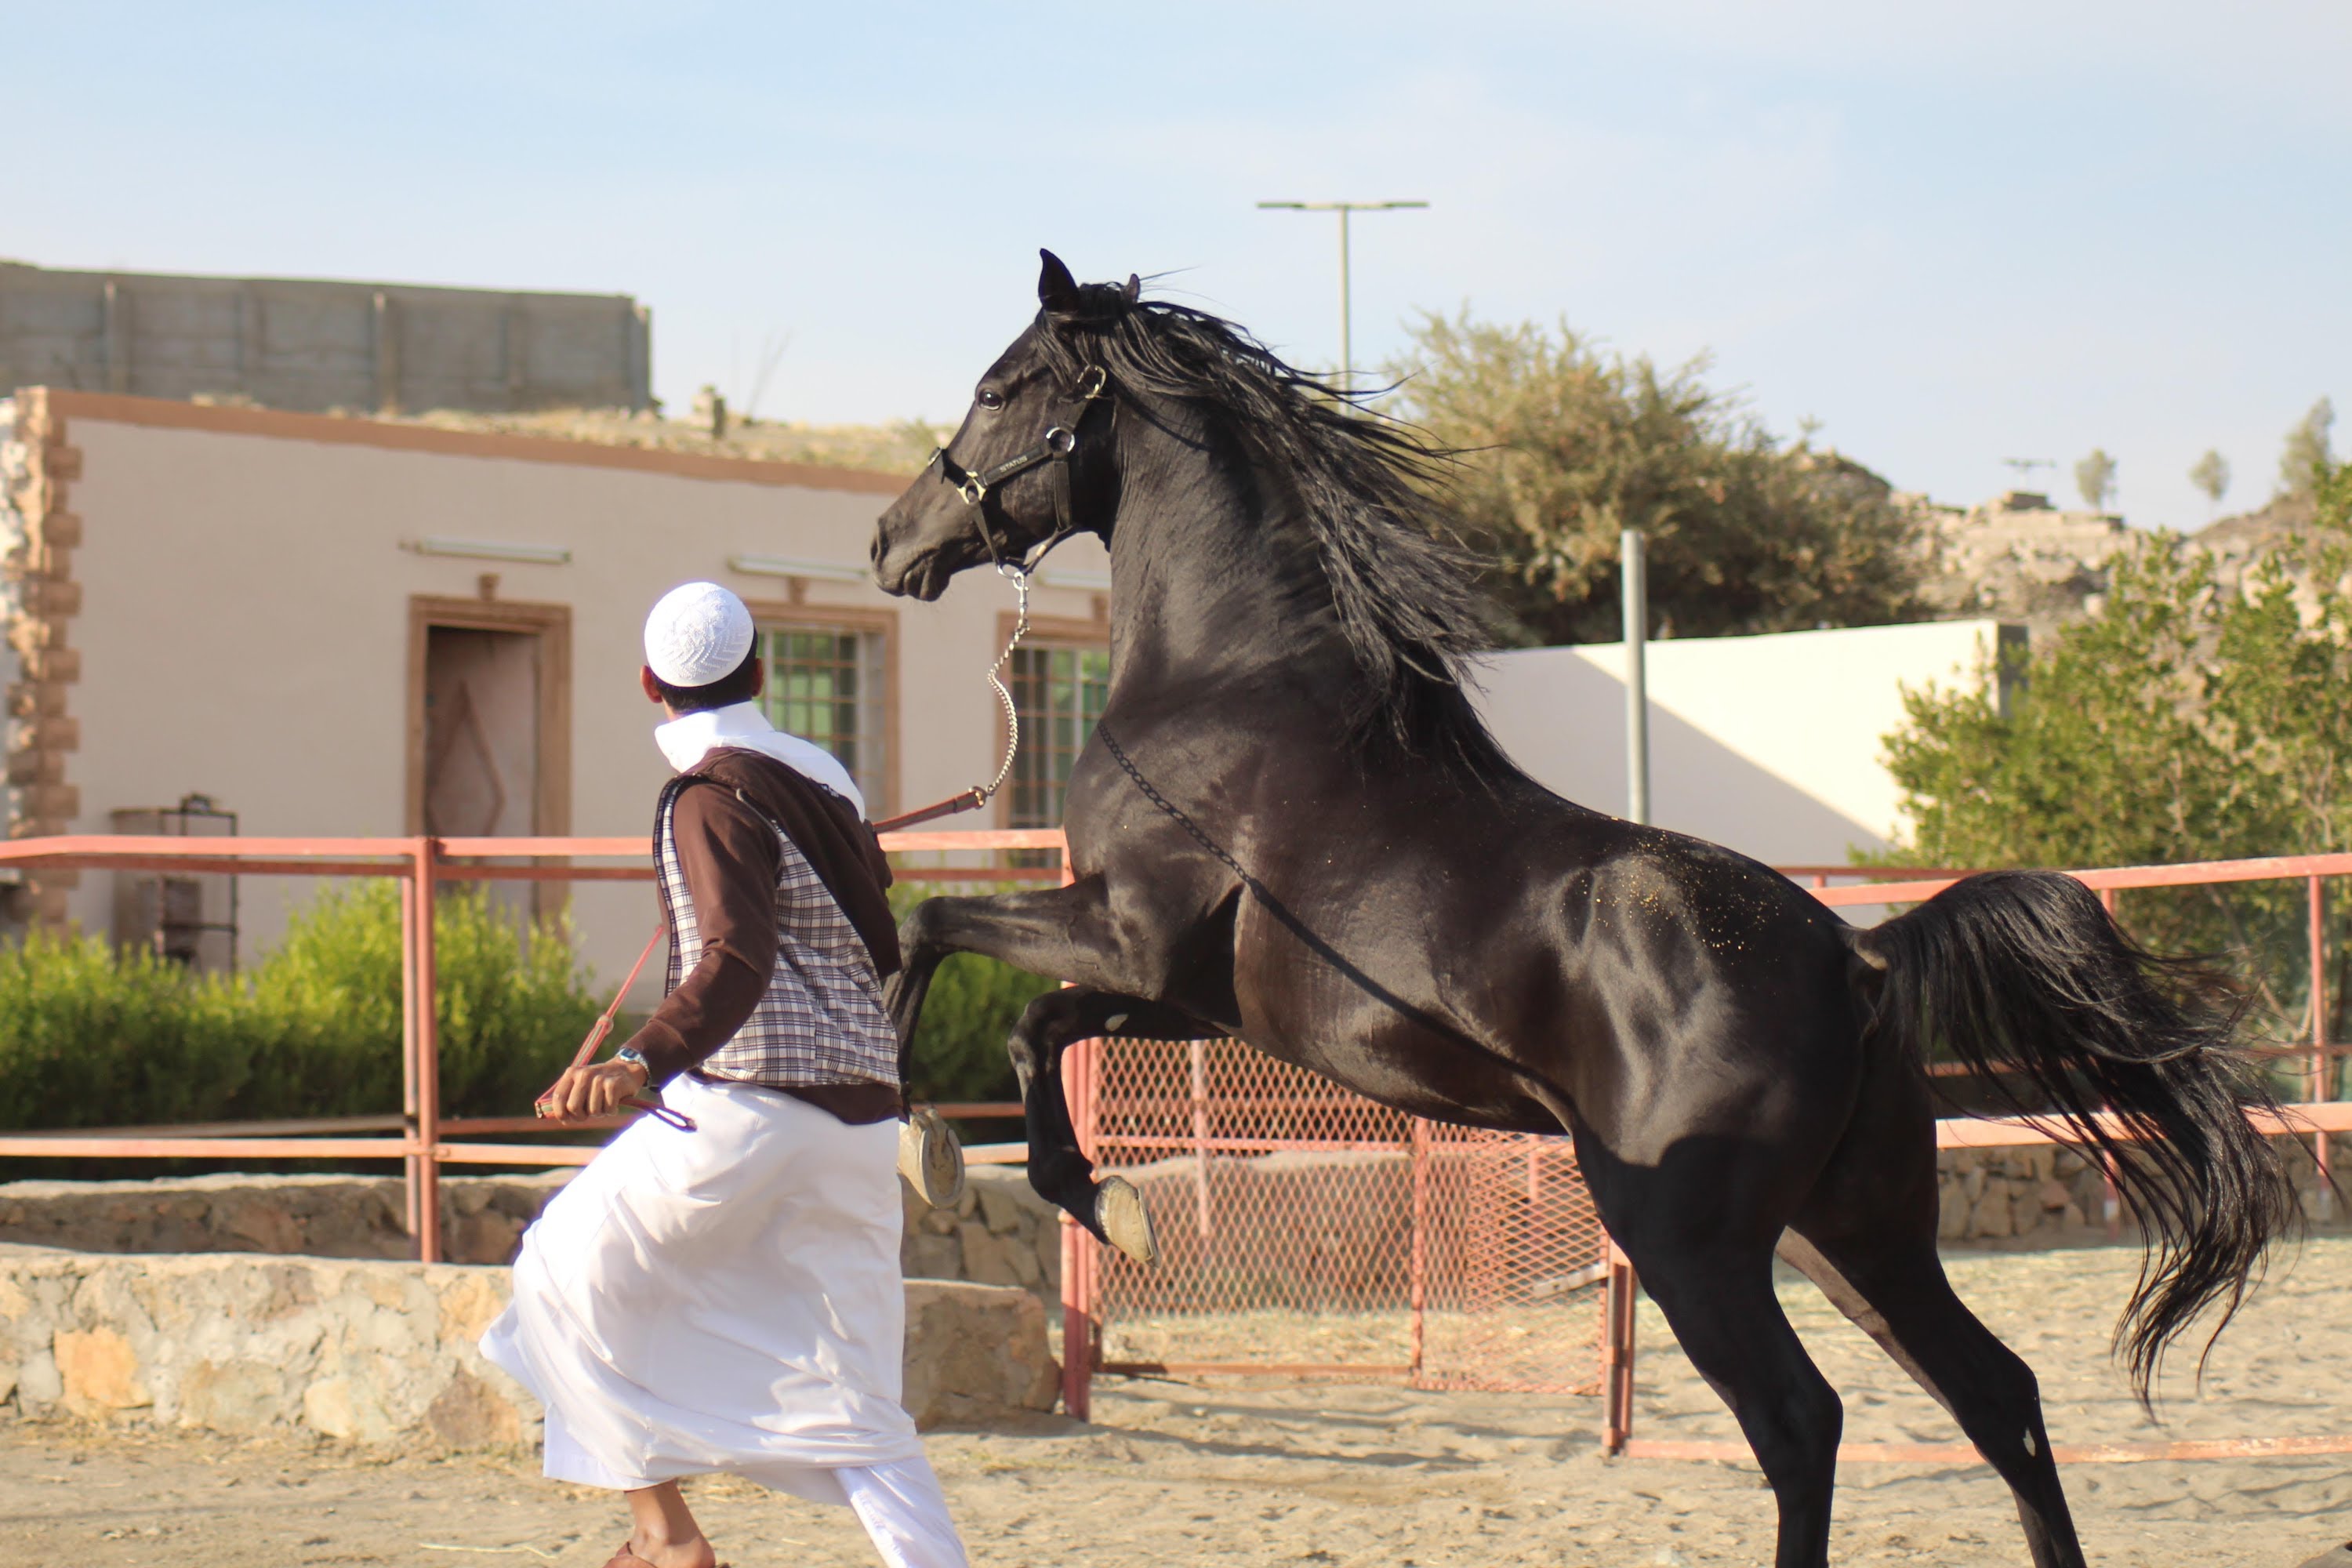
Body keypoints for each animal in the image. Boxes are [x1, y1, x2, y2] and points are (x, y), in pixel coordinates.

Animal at [870, 251, 2296, 1561]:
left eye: (999, 387)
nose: (891, 541)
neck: (1228, 689)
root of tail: (1858, 957)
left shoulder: (1128, 931)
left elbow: (933, 936)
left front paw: (929, 1143)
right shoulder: (1198, 997)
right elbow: (1036, 1027)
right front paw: (1100, 1198)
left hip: (1691, 1241)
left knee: (1803, 1423)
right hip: (1857, 1230)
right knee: (1996, 1394)